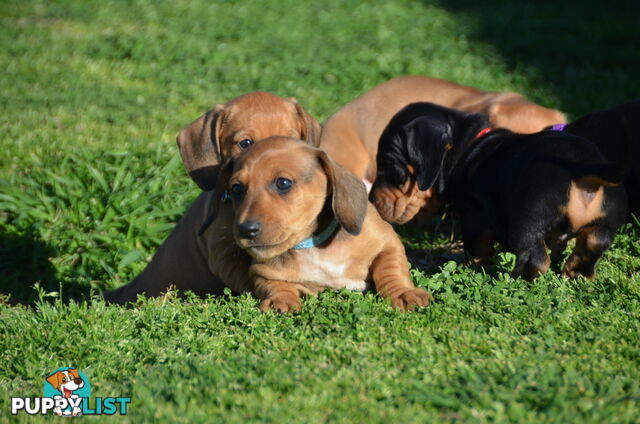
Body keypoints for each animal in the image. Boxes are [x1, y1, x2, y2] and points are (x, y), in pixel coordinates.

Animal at [212, 136, 432, 312]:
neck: (313, 244)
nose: (245, 230)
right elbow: (274, 285)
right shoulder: (261, 272)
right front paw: (279, 299)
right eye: (236, 189)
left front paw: (403, 293)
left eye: (283, 183)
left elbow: (390, 269)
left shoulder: (387, 241)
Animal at [372, 103, 628, 282]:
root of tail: (585, 168)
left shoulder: (475, 218)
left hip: (529, 219)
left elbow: (477, 249)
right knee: (592, 247)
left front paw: (475, 268)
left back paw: (514, 279)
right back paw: (577, 276)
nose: (371, 199)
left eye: (387, 165)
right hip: (603, 226)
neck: (467, 148)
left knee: (535, 259)